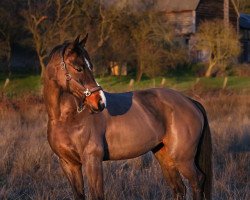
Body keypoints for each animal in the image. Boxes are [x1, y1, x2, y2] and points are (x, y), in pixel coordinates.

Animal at [44, 35, 212, 199]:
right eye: (78, 68)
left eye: (90, 66)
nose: (100, 102)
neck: (67, 119)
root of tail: (190, 102)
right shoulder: (69, 164)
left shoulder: (92, 161)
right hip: (165, 157)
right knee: (179, 189)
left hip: (184, 159)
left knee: (197, 181)